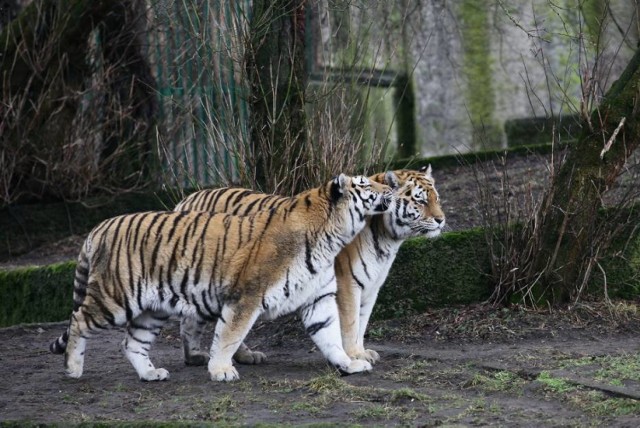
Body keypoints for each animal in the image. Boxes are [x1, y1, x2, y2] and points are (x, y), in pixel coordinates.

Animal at [51, 174, 396, 382]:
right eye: (366, 185)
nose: (390, 188)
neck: (332, 237)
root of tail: (99, 226)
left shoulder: (318, 299)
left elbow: (331, 335)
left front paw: (348, 364)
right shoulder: (246, 297)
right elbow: (229, 336)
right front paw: (220, 371)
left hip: (152, 309)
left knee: (132, 342)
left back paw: (150, 374)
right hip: (115, 298)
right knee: (78, 320)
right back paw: (72, 369)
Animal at [175, 166, 444, 366]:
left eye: (437, 199)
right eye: (420, 201)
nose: (441, 220)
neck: (387, 238)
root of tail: (186, 199)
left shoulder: (371, 287)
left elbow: (362, 321)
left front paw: (361, 352)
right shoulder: (348, 284)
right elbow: (350, 324)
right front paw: (354, 355)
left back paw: (211, 356)